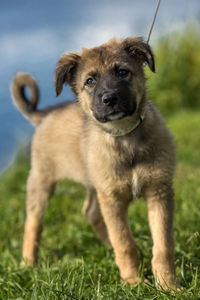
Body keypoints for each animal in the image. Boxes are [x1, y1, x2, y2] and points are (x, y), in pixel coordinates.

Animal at [10, 36, 177, 290]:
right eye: (89, 81)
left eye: (122, 72)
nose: (110, 99)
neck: (125, 139)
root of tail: (45, 114)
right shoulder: (113, 199)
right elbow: (125, 242)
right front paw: (133, 282)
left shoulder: (159, 191)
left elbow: (163, 244)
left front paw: (168, 285)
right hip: (42, 180)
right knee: (33, 222)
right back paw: (28, 263)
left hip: (95, 184)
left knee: (90, 212)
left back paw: (107, 248)